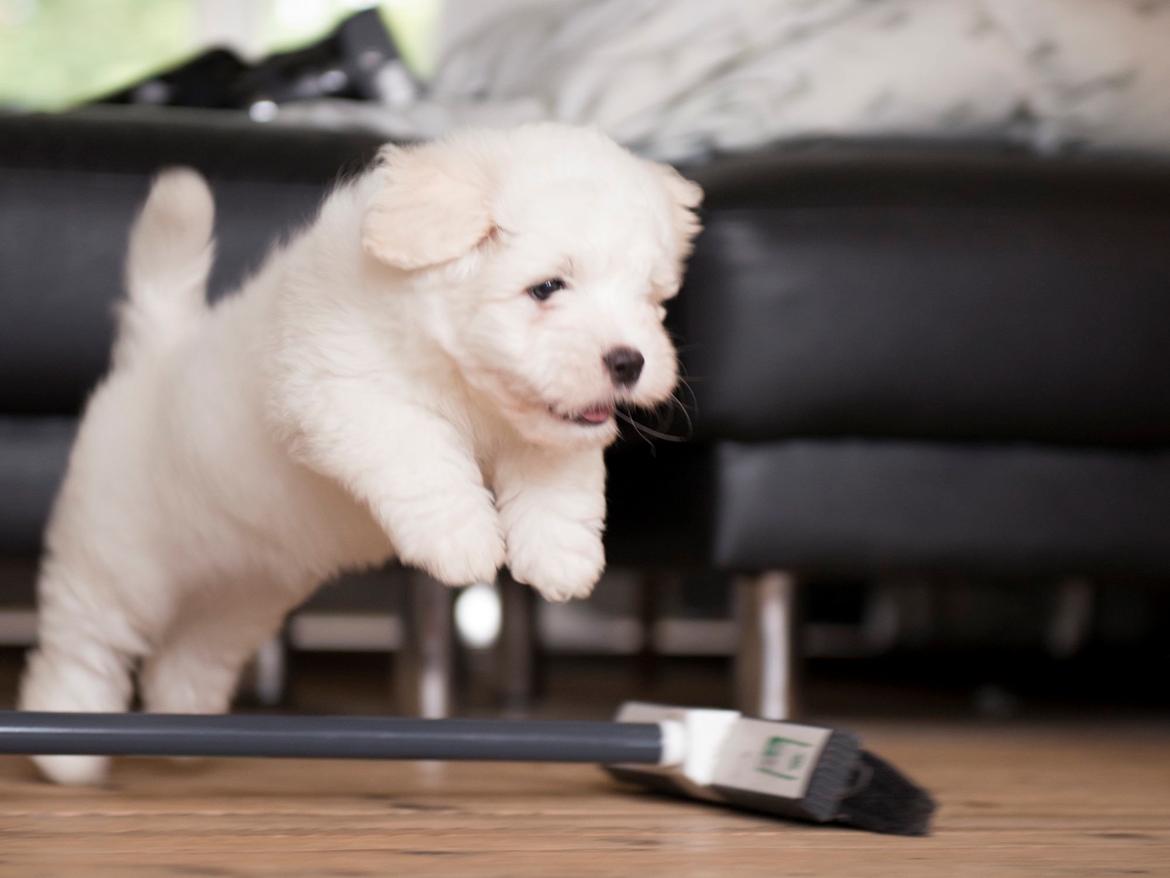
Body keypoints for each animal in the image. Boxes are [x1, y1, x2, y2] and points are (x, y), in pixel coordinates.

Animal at [18, 122, 697, 782]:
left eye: (649, 298)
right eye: (547, 287)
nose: (629, 361)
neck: (467, 384)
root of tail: (154, 361)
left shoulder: (544, 430)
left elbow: (559, 484)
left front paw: (560, 557)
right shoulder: (345, 392)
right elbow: (422, 455)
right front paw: (464, 541)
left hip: (240, 596)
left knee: (189, 654)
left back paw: (184, 726)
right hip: (121, 566)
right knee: (83, 648)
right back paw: (68, 748)